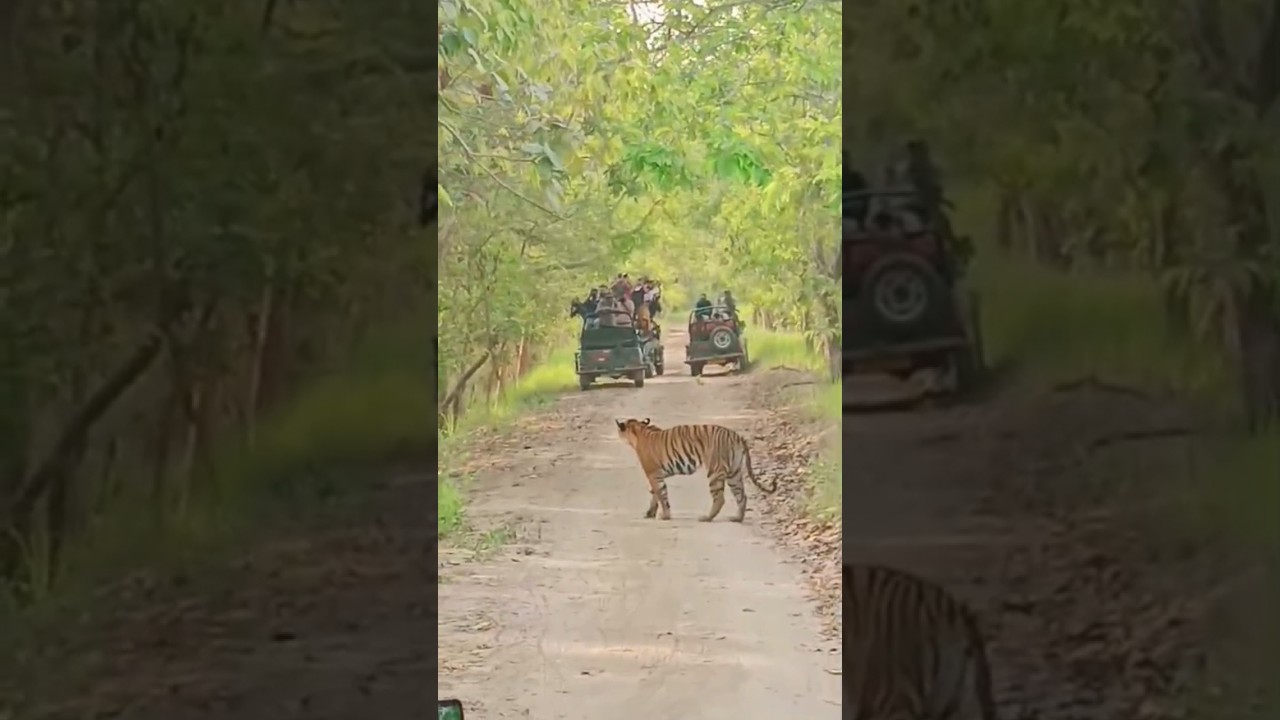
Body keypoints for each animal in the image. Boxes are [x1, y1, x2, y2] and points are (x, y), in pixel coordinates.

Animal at [614, 418, 776, 522]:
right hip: (734, 473)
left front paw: (665, 516)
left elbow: (661, 495)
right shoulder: (656, 475)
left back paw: (706, 518)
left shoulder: (653, 474)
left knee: (720, 498)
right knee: (742, 496)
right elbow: (655, 494)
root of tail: (737, 436)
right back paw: (737, 518)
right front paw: (650, 513)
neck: (639, 431)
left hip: (715, 472)